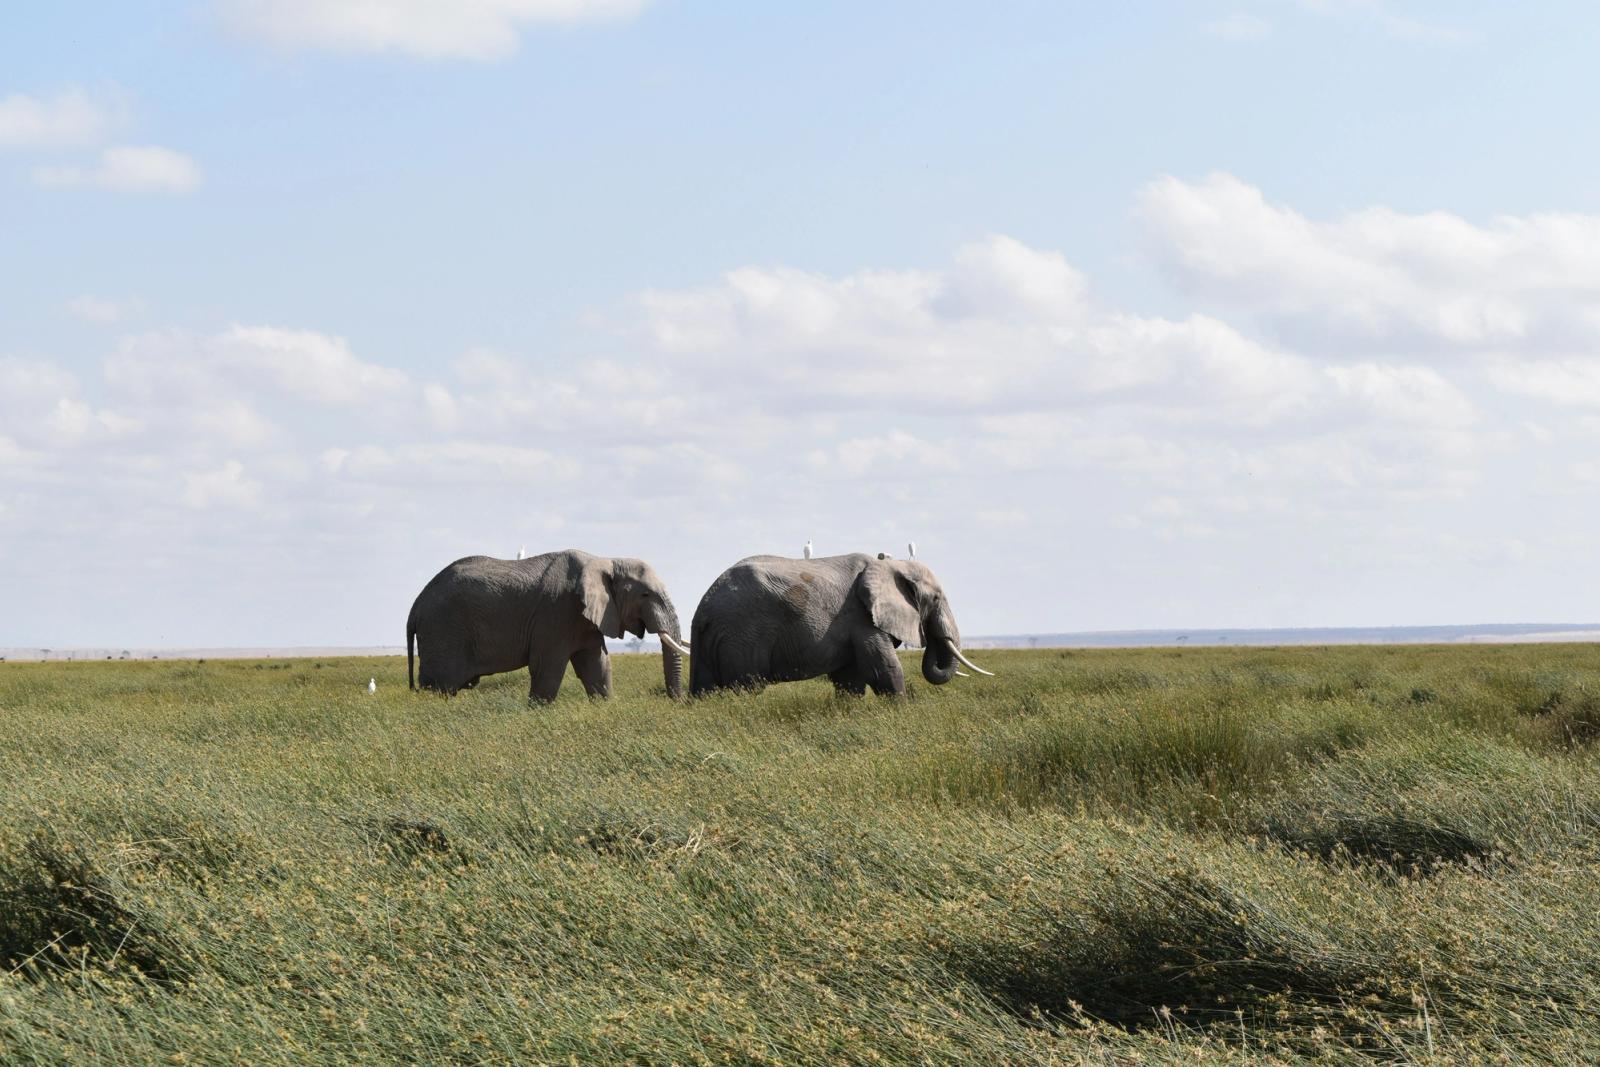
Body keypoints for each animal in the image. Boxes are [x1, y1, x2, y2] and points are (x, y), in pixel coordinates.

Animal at [407, 549, 690, 702]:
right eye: (645, 594)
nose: (677, 701)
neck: (605, 560)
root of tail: (416, 605)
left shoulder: (585, 619)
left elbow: (597, 665)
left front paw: (606, 704)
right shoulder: (556, 612)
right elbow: (548, 666)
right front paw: (536, 710)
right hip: (443, 629)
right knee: (441, 685)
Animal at [688, 552, 992, 697]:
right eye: (937, 598)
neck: (891, 565)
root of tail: (703, 608)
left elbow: (850, 679)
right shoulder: (861, 617)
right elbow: (884, 669)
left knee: (706, 690)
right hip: (743, 636)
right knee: (747, 686)